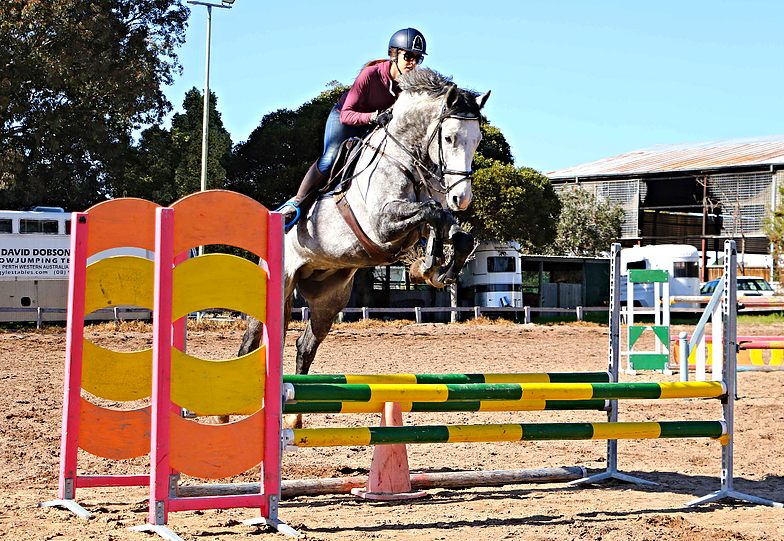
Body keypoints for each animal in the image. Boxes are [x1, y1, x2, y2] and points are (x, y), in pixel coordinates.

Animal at [239, 68, 486, 400]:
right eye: (449, 138)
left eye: (478, 140)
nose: (461, 198)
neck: (404, 159)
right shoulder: (382, 226)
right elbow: (431, 212)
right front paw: (426, 266)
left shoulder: (419, 224)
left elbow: (456, 233)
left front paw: (436, 271)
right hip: (277, 285)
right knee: (250, 342)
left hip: (329, 298)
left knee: (305, 346)